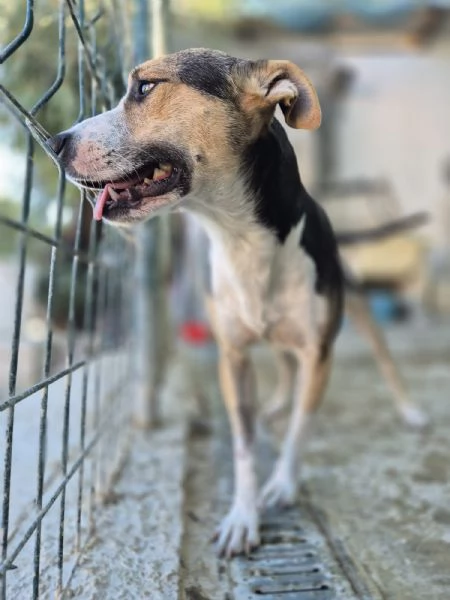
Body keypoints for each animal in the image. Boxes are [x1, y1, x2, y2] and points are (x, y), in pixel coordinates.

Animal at [51, 48, 348, 556]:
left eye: (146, 87)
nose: (54, 143)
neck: (241, 240)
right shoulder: (233, 356)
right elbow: (244, 444)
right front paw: (242, 517)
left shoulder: (320, 353)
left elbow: (300, 428)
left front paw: (282, 485)